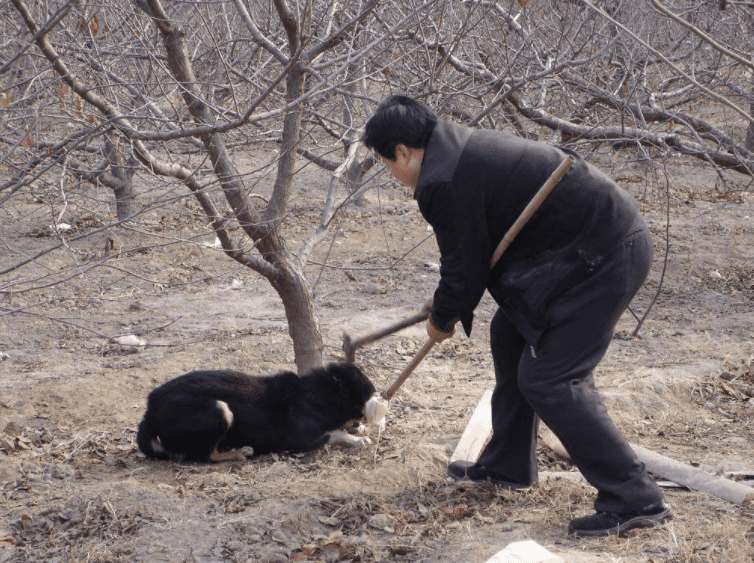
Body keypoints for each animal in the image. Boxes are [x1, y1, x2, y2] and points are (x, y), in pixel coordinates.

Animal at [136, 364, 376, 464]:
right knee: (204, 456)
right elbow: (335, 433)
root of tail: (150, 411)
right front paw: (357, 438)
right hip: (221, 410)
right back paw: (237, 453)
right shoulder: (299, 441)